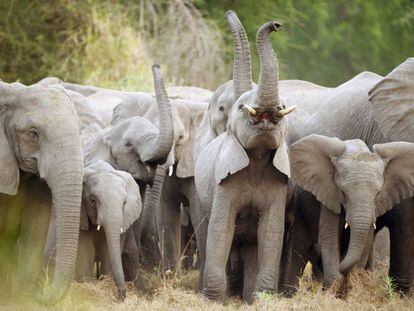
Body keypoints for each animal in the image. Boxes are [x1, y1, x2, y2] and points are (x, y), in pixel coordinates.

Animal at [77, 161, 142, 300]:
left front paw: (105, 284)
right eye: (93, 201)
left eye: (124, 203)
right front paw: (86, 286)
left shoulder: (124, 220)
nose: (121, 296)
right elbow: (86, 249)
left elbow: (108, 252)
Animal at [195, 20, 296, 304]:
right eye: (241, 108)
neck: (256, 158)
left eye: (283, 105)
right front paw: (213, 300)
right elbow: (221, 227)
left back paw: (250, 296)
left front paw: (263, 300)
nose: (276, 24)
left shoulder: (278, 184)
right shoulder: (223, 181)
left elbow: (270, 232)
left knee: (252, 246)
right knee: (206, 233)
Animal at [282, 135, 414, 294]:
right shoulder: (329, 194)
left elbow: (366, 240)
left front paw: (352, 284)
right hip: (300, 206)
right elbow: (329, 238)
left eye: (378, 194)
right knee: (299, 246)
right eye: (343, 193)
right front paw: (334, 289)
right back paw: (289, 294)